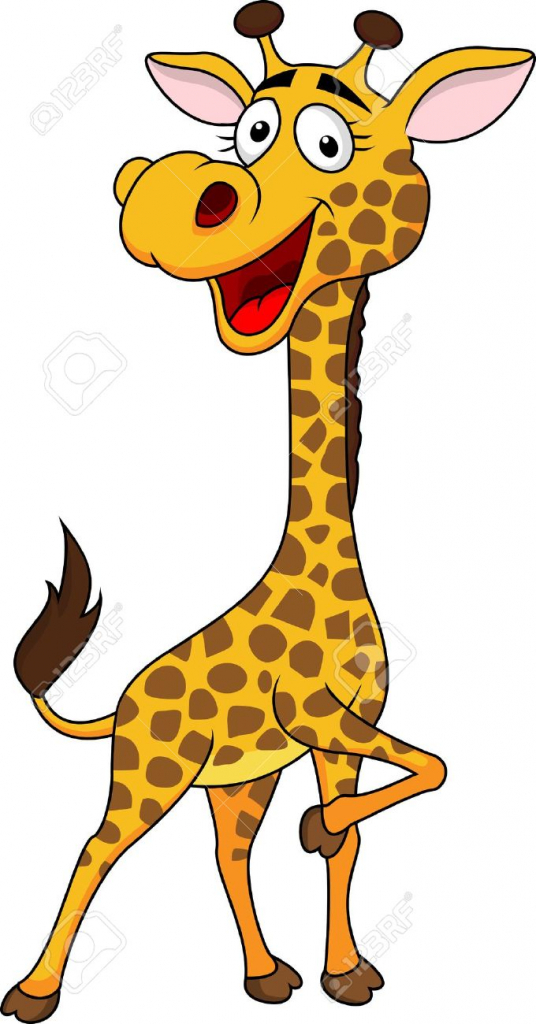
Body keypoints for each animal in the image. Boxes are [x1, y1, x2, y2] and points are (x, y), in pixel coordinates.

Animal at [3, 3, 533, 1019]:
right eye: (248, 130)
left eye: (329, 142)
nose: (164, 194)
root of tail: (121, 705)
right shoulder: (319, 718)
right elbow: (429, 768)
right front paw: (323, 846)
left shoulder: (340, 732)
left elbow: (379, 814)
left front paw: (347, 967)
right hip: (154, 769)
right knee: (97, 848)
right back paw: (36, 992)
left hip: (233, 777)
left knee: (225, 850)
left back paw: (265, 976)